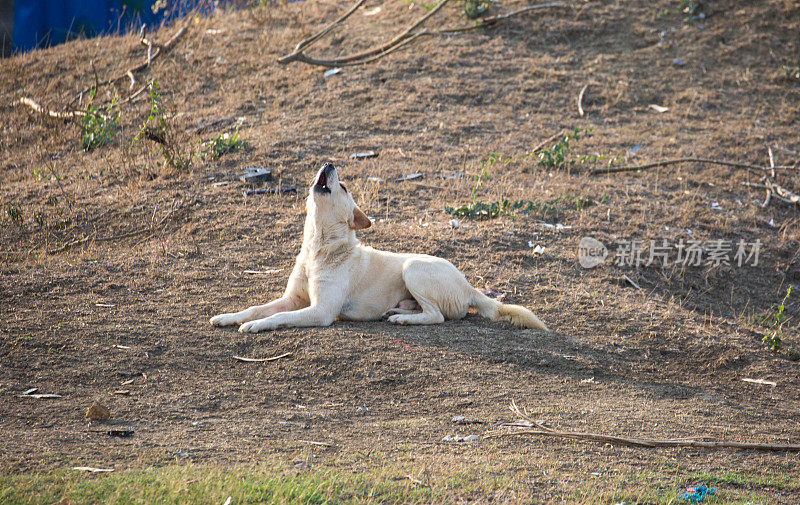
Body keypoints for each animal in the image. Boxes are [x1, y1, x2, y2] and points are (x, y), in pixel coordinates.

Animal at [209, 162, 552, 330]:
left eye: (344, 186)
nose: (329, 161)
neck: (318, 248)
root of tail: (470, 287)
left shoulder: (320, 311)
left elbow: (276, 318)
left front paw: (255, 325)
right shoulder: (292, 299)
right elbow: (256, 308)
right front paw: (229, 317)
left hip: (414, 268)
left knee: (437, 316)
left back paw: (404, 318)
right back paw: (400, 310)